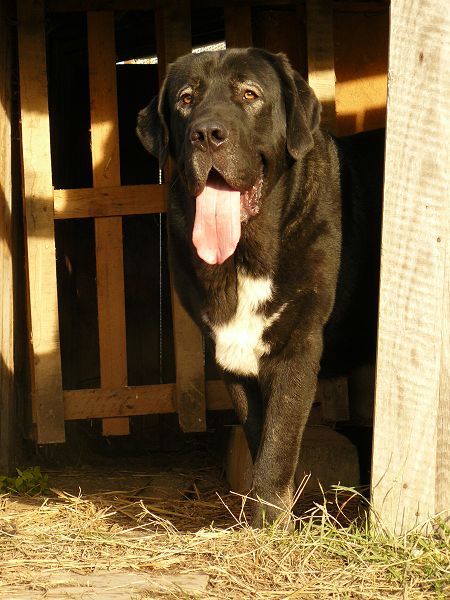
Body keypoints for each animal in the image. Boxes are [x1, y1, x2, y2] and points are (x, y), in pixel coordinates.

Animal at [137, 48, 384, 524]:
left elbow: (279, 441)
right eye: (186, 99)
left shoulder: (297, 346)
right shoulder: (231, 353)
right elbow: (259, 433)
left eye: (249, 94)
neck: (245, 255)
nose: (207, 134)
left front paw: (270, 521)